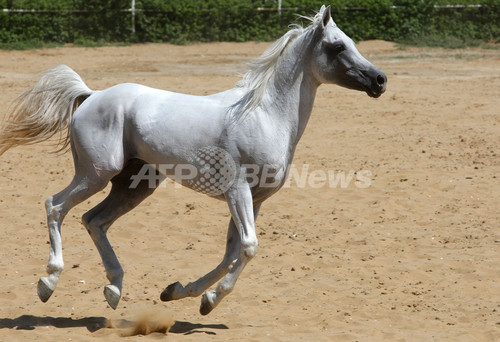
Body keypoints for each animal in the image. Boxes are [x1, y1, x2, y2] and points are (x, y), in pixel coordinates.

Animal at [0, 6, 386, 316]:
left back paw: (114, 289)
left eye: (352, 42)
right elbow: (248, 248)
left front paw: (181, 293)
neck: (264, 115)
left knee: (94, 220)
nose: (380, 81)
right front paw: (207, 300)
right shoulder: (238, 192)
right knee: (56, 206)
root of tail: (92, 95)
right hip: (95, 173)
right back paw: (48, 282)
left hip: (134, 186)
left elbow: (232, 253)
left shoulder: (256, 199)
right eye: (337, 46)